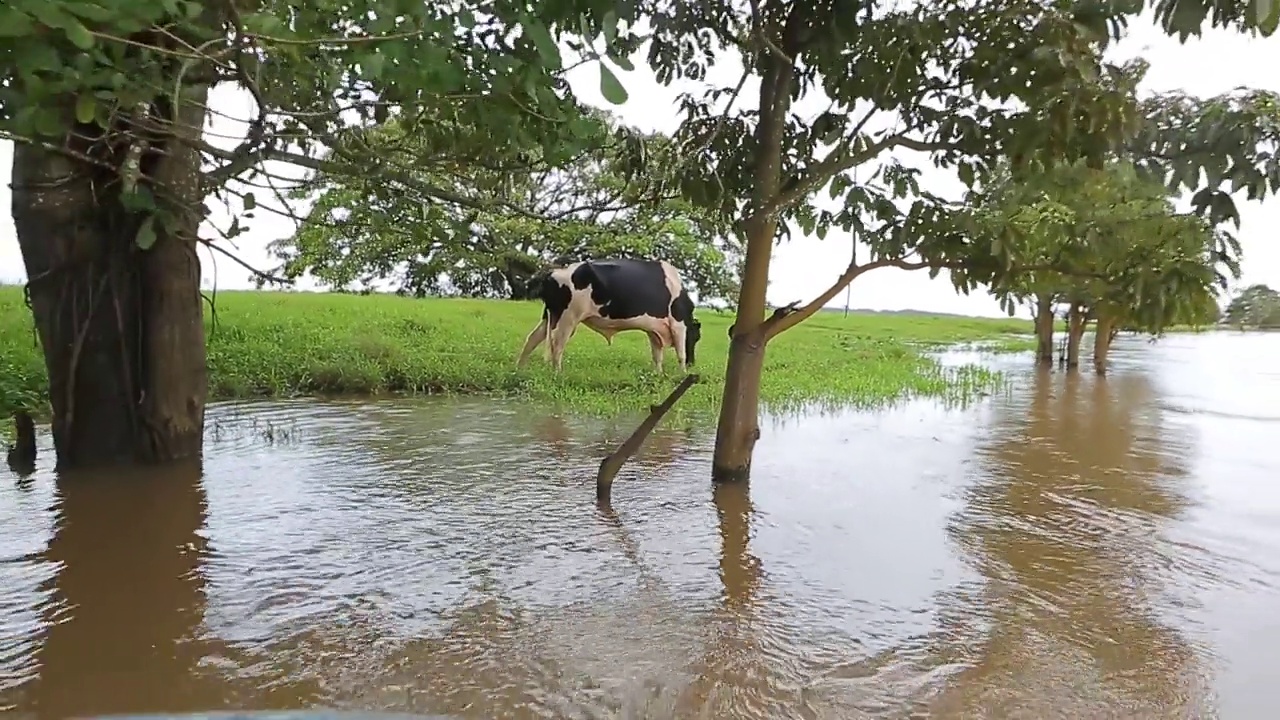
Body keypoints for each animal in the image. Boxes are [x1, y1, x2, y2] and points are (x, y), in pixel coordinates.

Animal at [514, 256, 706, 368]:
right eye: (696, 337)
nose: (693, 364)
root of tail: (554, 271)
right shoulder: (678, 325)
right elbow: (680, 354)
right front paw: (682, 375)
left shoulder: (654, 329)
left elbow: (657, 355)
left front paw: (658, 375)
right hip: (568, 318)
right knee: (558, 346)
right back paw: (557, 373)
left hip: (550, 316)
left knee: (532, 339)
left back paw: (520, 369)